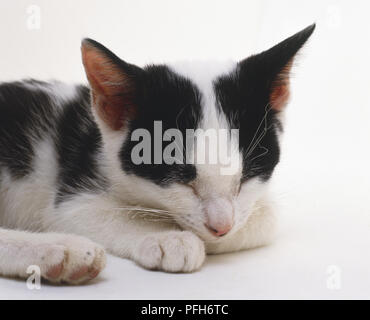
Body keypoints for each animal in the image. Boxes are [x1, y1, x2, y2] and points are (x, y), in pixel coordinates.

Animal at [0, 25, 316, 284]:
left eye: (247, 176)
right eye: (182, 177)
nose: (220, 227)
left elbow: (266, 217)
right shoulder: (73, 190)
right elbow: (93, 212)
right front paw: (167, 237)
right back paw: (61, 251)